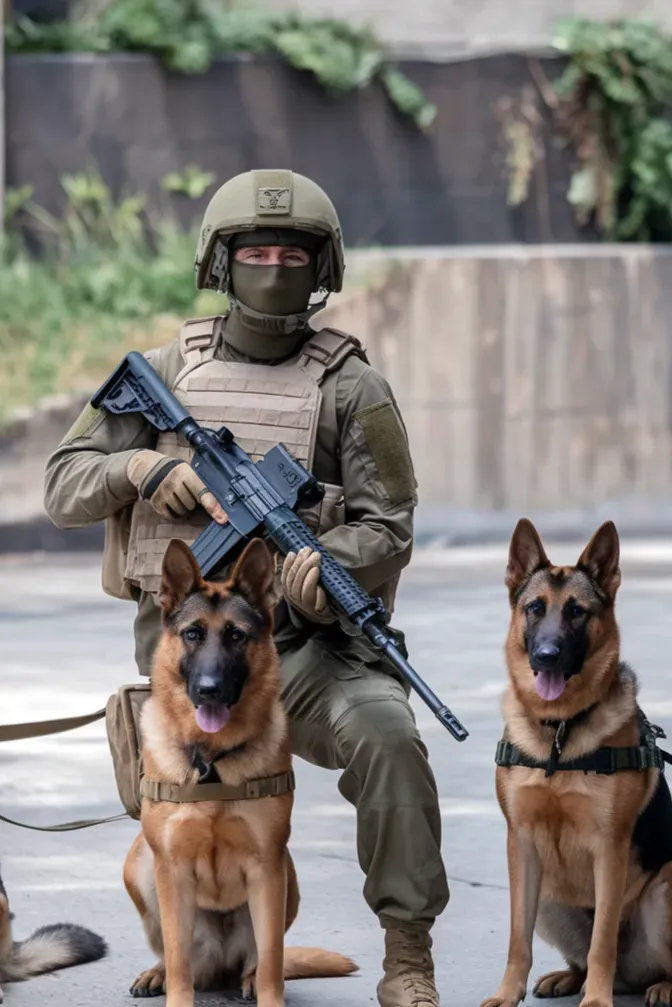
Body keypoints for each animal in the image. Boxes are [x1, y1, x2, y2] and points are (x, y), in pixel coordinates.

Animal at [123, 543, 360, 1007]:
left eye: (237, 636)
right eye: (193, 634)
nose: (209, 689)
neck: (211, 760)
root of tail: (221, 967)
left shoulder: (267, 868)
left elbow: (270, 963)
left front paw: (269, 996)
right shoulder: (170, 869)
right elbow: (178, 963)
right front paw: (173, 989)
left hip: (287, 878)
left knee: (259, 961)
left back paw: (245, 978)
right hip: (140, 864)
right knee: (181, 961)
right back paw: (158, 973)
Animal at [481, 519, 672, 1007]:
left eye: (577, 612)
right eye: (534, 608)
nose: (546, 656)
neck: (560, 732)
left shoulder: (610, 848)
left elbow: (603, 939)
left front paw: (597, 1000)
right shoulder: (521, 846)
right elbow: (518, 939)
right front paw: (507, 993)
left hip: (665, 891)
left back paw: (658, 986)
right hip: (550, 895)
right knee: (583, 958)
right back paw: (569, 978)